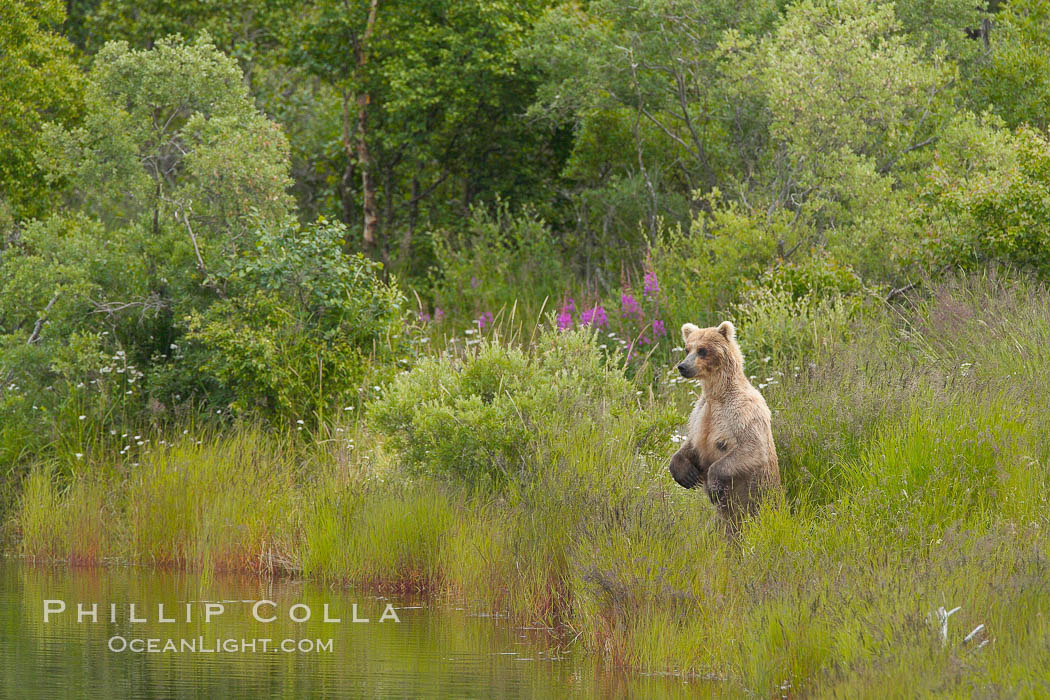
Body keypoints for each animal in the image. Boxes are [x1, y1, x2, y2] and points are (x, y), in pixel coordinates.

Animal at [663, 323, 781, 531]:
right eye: (687, 349)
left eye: (702, 350)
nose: (683, 366)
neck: (717, 394)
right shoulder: (699, 414)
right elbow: (691, 443)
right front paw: (686, 474)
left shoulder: (742, 411)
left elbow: (752, 447)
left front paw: (713, 486)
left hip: (760, 499)